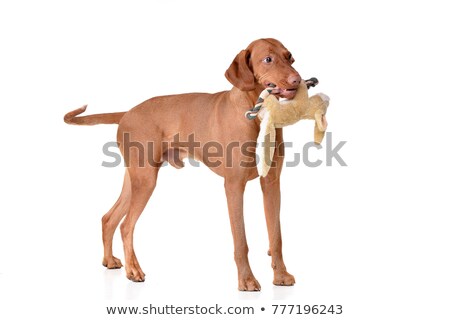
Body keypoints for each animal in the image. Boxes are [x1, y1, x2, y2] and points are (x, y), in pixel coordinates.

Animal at [63, 37, 300, 290]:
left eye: (290, 57)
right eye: (268, 59)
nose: (297, 79)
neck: (257, 114)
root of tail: (127, 112)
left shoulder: (271, 184)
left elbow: (276, 237)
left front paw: (281, 275)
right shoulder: (234, 186)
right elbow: (240, 241)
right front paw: (246, 280)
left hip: (136, 179)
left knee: (108, 219)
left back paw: (109, 260)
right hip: (146, 181)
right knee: (126, 226)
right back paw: (133, 270)